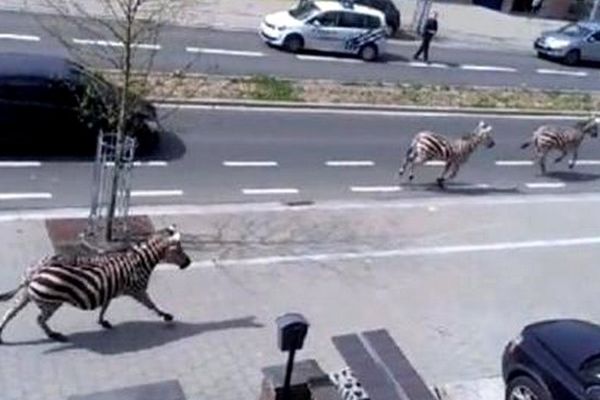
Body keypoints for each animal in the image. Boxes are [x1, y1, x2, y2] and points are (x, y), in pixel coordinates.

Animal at [0, 225, 190, 344]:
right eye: (178, 250)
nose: (188, 263)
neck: (142, 260)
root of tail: (35, 271)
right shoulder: (138, 290)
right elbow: (152, 305)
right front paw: (166, 316)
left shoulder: (110, 289)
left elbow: (105, 306)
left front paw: (102, 321)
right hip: (51, 302)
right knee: (39, 319)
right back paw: (54, 335)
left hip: (26, 295)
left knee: (10, 313)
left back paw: (2, 337)